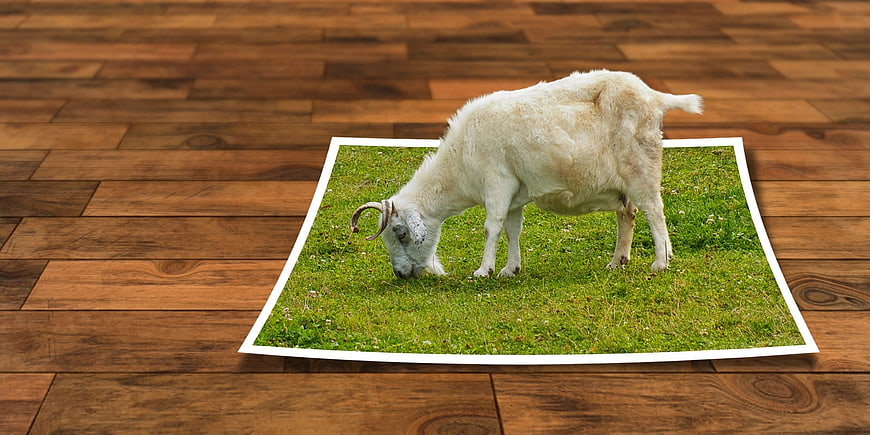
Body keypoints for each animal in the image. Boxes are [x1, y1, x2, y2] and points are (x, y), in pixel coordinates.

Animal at [350, 70, 703, 279]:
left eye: (400, 233)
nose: (400, 274)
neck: (460, 162)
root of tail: (654, 96)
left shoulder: (497, 182)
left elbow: (491, 227)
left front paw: (484, 270)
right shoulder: (514, 194)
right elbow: (512, 230)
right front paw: (510, 268)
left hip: (641, 166)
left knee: (654, 211)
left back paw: (661, 261)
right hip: (624, 183)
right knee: (628, 215)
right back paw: (618, 260)